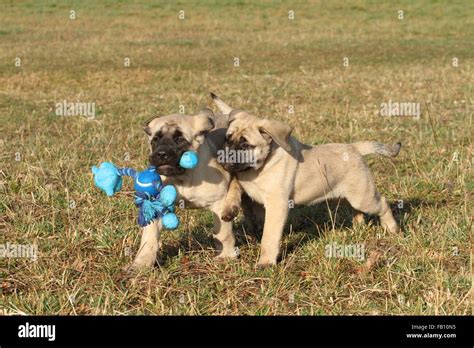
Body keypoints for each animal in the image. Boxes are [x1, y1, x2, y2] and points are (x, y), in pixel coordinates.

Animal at [129, 109, 241, 270]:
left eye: (179, 139)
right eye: (155, 139)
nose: (161, 154)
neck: (183, 177)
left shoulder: (218, 203)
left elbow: (222, 234)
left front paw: (225, 257)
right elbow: (149, 239)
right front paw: (141, 264)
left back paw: (231, 207)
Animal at [213, 95, 402, 266]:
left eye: (245, 145)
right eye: (227, 138)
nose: (222, 158)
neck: (258, 168)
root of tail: (354, 148)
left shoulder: (276, 205)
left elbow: (269, 236)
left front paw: (266, 262)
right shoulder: (242, 180)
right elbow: (234, 186)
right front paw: (229, 209)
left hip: (363, 197)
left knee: (382, 203)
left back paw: (392, 229)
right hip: (345, 196)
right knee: (357, 211)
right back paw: (358, 227)